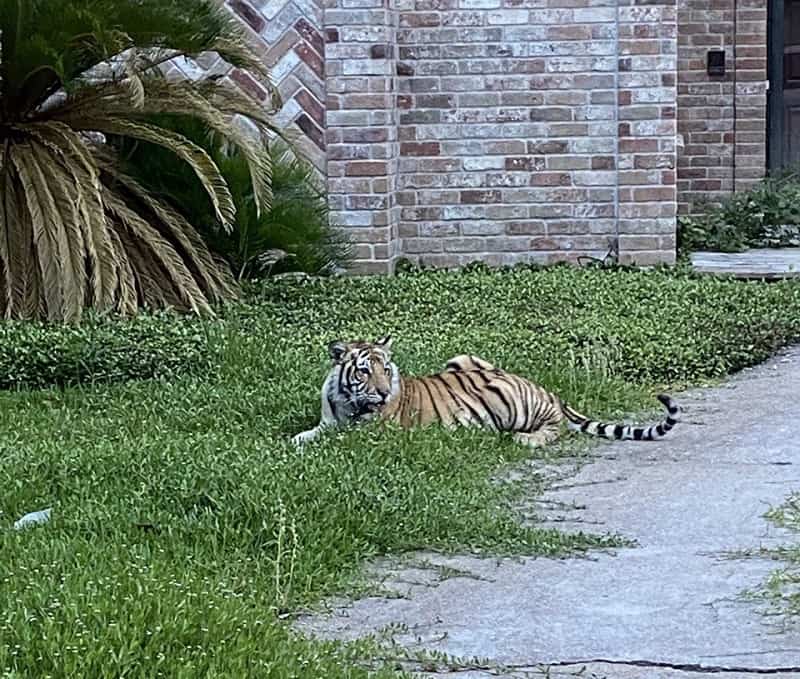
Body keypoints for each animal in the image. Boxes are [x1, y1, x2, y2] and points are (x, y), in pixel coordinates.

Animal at [290, 336, 680, 452]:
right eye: (364, 371)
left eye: (386, 370)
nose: (384, 394)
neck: (346, 401)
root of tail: (548, 390)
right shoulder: (328, 422)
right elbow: (305, 435)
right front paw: (292, 441)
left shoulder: (371, 434)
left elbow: (335, 441)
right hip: (461, 358)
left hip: (513, 402)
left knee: (556, 429)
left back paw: (525, 439)